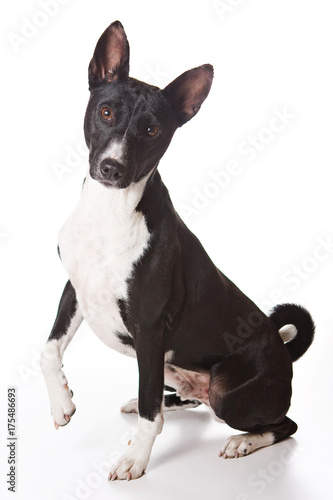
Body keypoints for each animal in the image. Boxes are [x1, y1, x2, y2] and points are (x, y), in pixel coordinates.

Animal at [40, 20, 312, 480]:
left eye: (152, 130)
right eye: (106, 111)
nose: (111, 168)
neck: (109, 213)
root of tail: (283, 351)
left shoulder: (149, 327)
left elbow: (151, 416)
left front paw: (135, 459)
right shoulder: (75, 288)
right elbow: (48, 350)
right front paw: (62, 403)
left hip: (227, 391)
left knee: (283, 424)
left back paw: (243, 441)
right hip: (167, 367)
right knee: (174, 399)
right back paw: (148, 402)